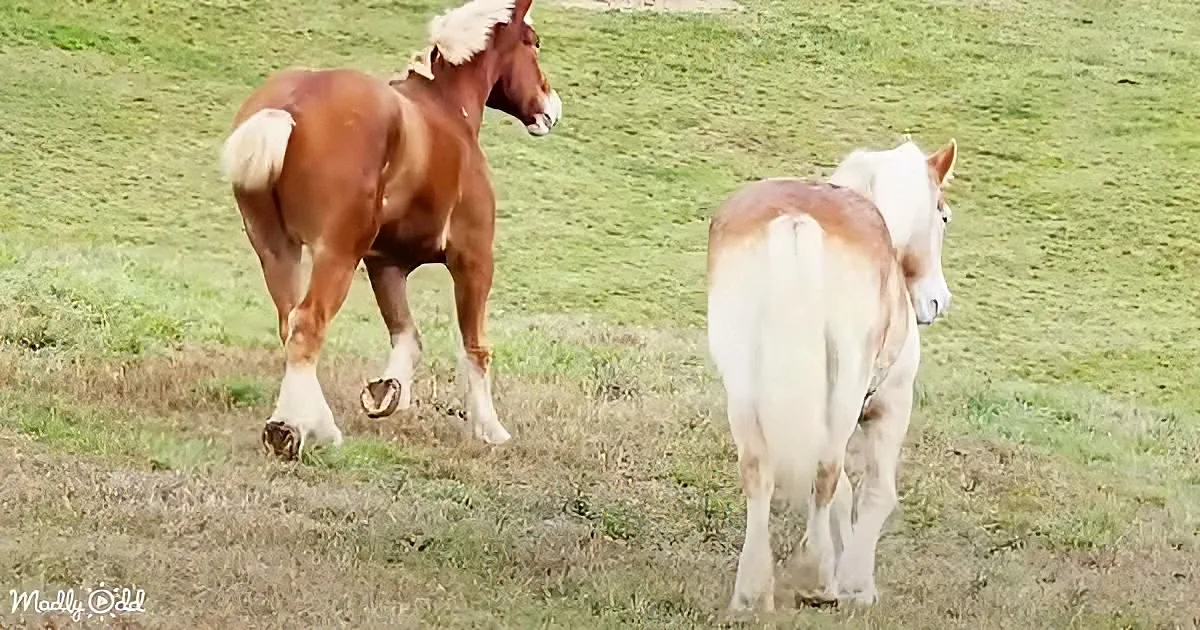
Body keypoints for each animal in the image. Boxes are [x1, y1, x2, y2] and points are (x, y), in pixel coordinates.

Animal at [218, 0, 562, 461]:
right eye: (533, 42)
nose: (550, 108)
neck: (446, 110)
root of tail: (288, 107)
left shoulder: (386, 263)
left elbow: (407, 335)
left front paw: (386, 393)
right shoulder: (473, 258)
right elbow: (474, 346)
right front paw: (490, 429)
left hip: (276, 249)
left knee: (289, 322)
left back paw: (320, 427)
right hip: (336, 254)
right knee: (308, 324)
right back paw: (287, 429)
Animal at [705, 136, 959, 612]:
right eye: (943, 215)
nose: (937, 301)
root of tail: (796, 219)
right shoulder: (891, 405)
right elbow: (874, 494)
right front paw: (858, 585)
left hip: (743, 386)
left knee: (758, 470)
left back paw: (753, 591)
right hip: (845, 387)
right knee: (824, 472)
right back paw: (816, 577)